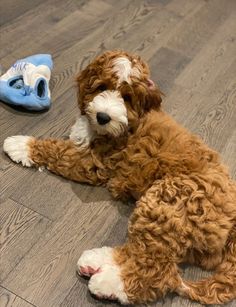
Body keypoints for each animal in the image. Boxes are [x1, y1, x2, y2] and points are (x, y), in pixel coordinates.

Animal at [3, 50, 236, 306]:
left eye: (126, 97)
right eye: (101, 87)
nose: (103, 116)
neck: (128, 126)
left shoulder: (94, 162)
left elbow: (58, 150)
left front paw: (21, 144)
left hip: (168, 200)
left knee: (157, 272)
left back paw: (108, 283)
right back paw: (95, 260)